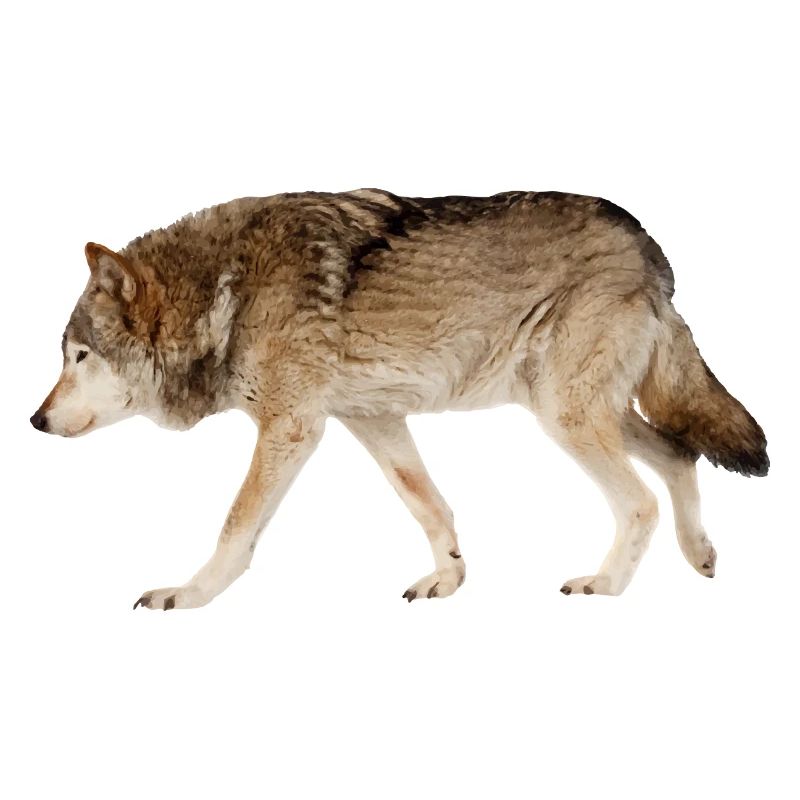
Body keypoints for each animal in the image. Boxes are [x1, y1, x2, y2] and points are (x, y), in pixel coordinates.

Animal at [31, 189, 768, 610]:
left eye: (78, 356)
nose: (34, 420)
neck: (225, 292)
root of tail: (650, 249)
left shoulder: (291, 428)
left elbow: (236, 527)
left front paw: (188, 594)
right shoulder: (373, 419)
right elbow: (430, 505)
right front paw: (448, 580)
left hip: (568, 415)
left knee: (641, 498)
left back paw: (606, 586)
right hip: (575, 410)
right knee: (678, 453)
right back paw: (700, 554)